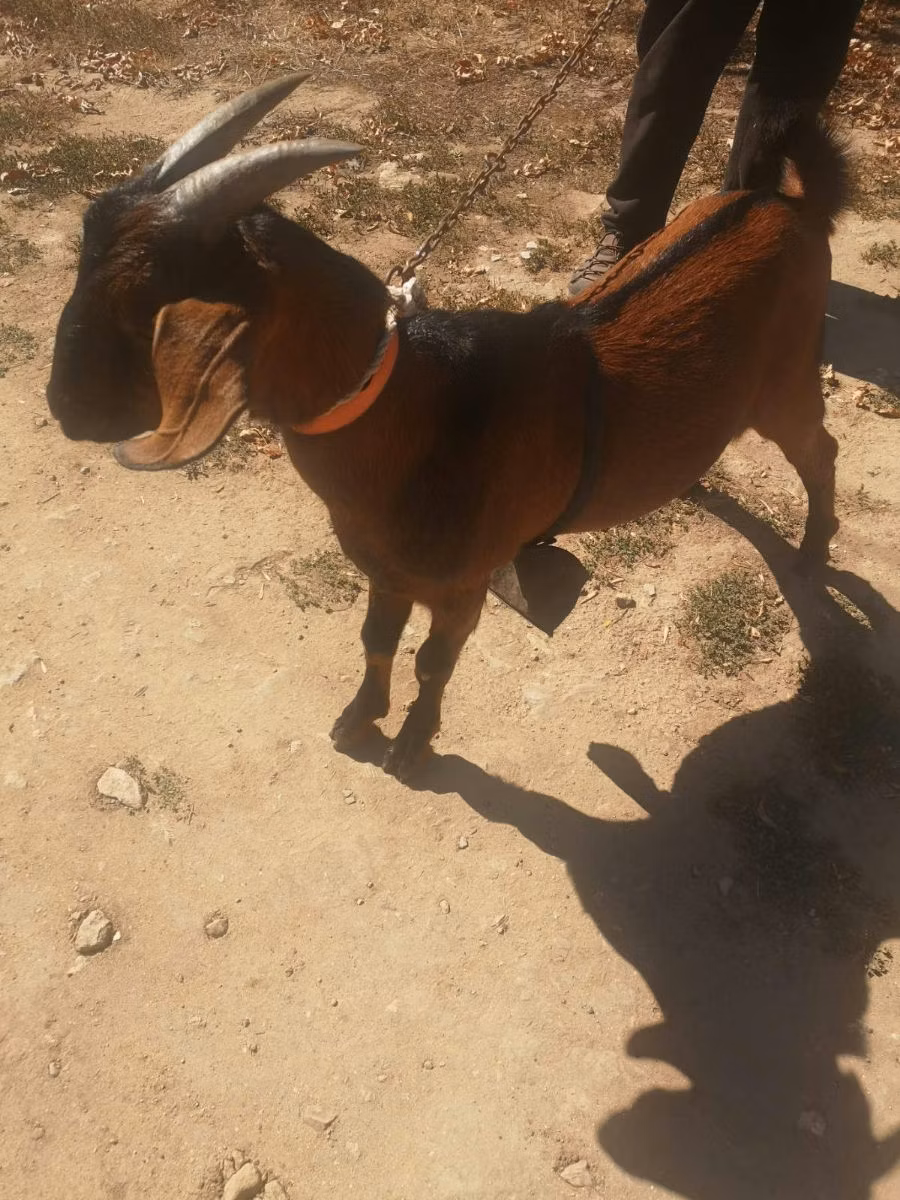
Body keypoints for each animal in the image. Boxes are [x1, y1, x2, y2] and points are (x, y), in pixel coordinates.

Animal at [47, 73, 847, 780]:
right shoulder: (385, 571)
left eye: (139, 297)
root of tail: (785, 202)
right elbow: (375, 638)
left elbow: (433, 662)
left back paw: (811, 556)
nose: (64, 406)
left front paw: (411, 746)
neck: (422, 416)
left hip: (788, 384)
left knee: (821, 449)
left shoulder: (462, 586)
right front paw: (358, 718)